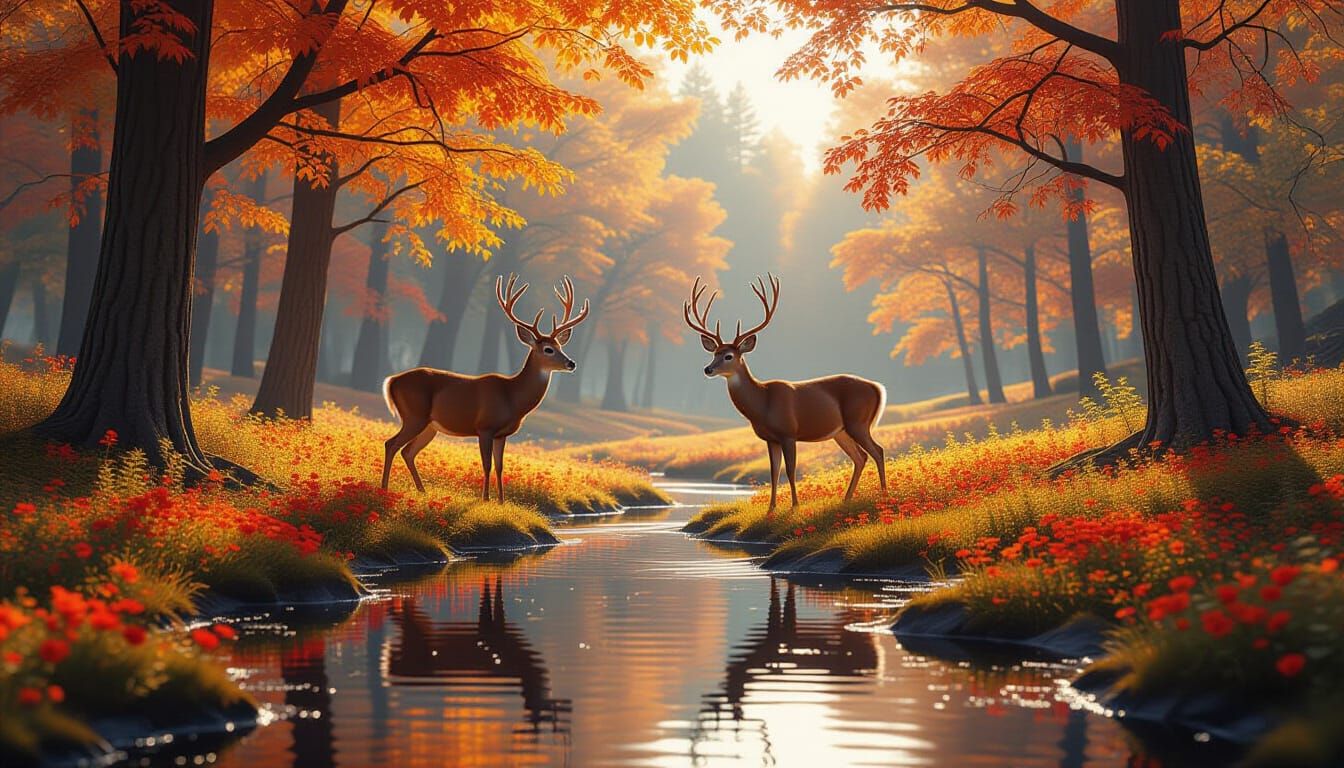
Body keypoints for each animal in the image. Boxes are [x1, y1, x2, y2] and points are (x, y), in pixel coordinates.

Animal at [381, 273, 589, 502]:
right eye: (548, 349)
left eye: (561, 346)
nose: (571, 363)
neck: (512, 397)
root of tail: (392, 380)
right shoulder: (485, 427)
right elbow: (487, 464)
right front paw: (486, 499)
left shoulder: (502, 434)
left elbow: (500, 466)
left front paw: (501, 501)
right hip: (414, 415)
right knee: (391, 444)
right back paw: (384, 488)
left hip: (429, 426)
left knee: (408, 451)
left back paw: (422, 491)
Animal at [684, 274, 888, 511]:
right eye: (714, 353)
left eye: (728, 356)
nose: (708, 369)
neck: (762, 403)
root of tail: (876, 387)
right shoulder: (770, 439)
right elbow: (774, 472)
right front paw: (771, 509)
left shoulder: (789, 433)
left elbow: (790, 470)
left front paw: (795, 506)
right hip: (841, 431)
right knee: (860, 457)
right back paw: (847, 499)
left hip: (858, 421)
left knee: (877, 451)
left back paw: (883, 494)